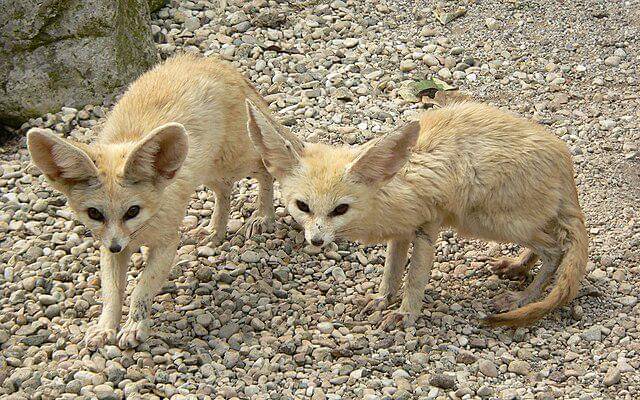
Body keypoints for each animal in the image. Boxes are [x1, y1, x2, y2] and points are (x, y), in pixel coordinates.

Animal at [26, 54, 289, 349]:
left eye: (132, 211)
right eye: (94, 214)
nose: (116, 246)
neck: (142, 231)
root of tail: (212, 62)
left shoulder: (166, 244)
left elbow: (141, 288)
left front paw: (134, 326)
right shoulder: (109, 248)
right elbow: (111, 293)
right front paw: (105, 327)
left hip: (232, 162)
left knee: (265, 167)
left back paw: (263, 215)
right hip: (208, 171)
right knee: (224, 191)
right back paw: (215, 230)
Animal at [245, 98, 588, 329]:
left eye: (340, 209)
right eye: (303, 207)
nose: (316, 241)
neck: (389, 188)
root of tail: (565, 163)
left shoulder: (427, 225)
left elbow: (415, 277)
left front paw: (405, 315)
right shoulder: (400, 232)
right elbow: (392, 270)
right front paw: (382, 300)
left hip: (494, 222)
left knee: (556, 249)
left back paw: (522, 297)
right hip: (511, 222)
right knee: (548, 242)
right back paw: (517, 266)